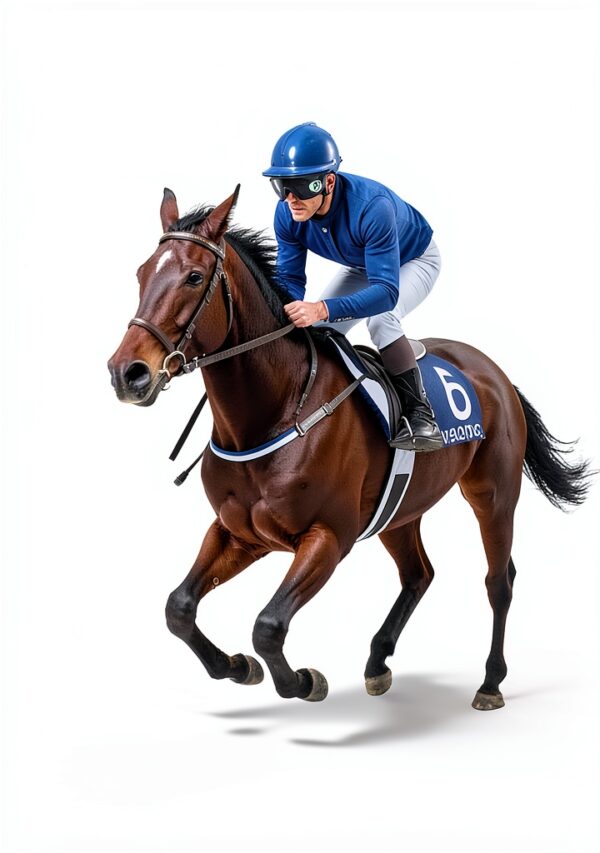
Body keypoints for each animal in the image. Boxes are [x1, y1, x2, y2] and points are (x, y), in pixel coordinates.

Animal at [107, 187, 590, 711]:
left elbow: (268, 625)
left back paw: (490, 682)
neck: (273, 412)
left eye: (194, 277)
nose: (127, 373)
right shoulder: (239, 532)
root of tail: (495, 372)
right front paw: (236, 666)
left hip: (494, 494)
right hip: (400, 509)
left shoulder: (327, 537)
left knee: (499, 582)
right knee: (418, 574)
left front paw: (302, 680)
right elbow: (178, 607)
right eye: (140, 273)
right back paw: (378, 663)